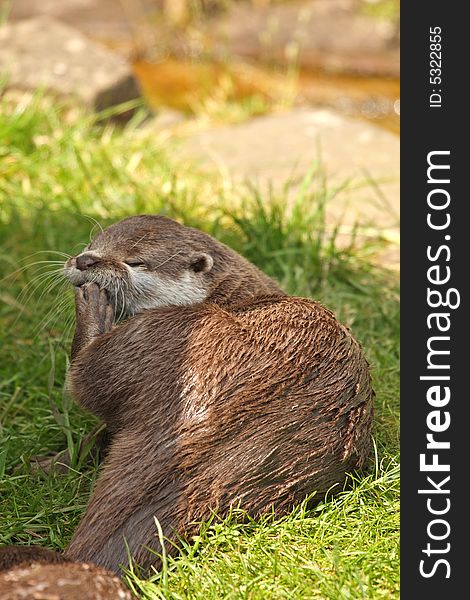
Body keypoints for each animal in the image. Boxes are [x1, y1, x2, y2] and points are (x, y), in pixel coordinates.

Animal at [59, 217, 370, 576]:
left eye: (135, 262)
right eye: (92, 244)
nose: (85, 260)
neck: (233, 295)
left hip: (156, 334)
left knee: (86, 373)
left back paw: (92, 307)